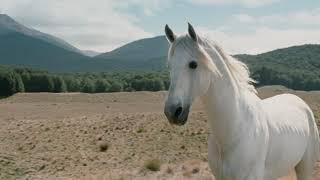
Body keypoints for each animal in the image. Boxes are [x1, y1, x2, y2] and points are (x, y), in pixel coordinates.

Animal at [164, 23, 318, 179]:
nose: (172, 112)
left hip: (305, 167)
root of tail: (299, 101)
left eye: (193, 64)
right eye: (169, 66)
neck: (236, 129)